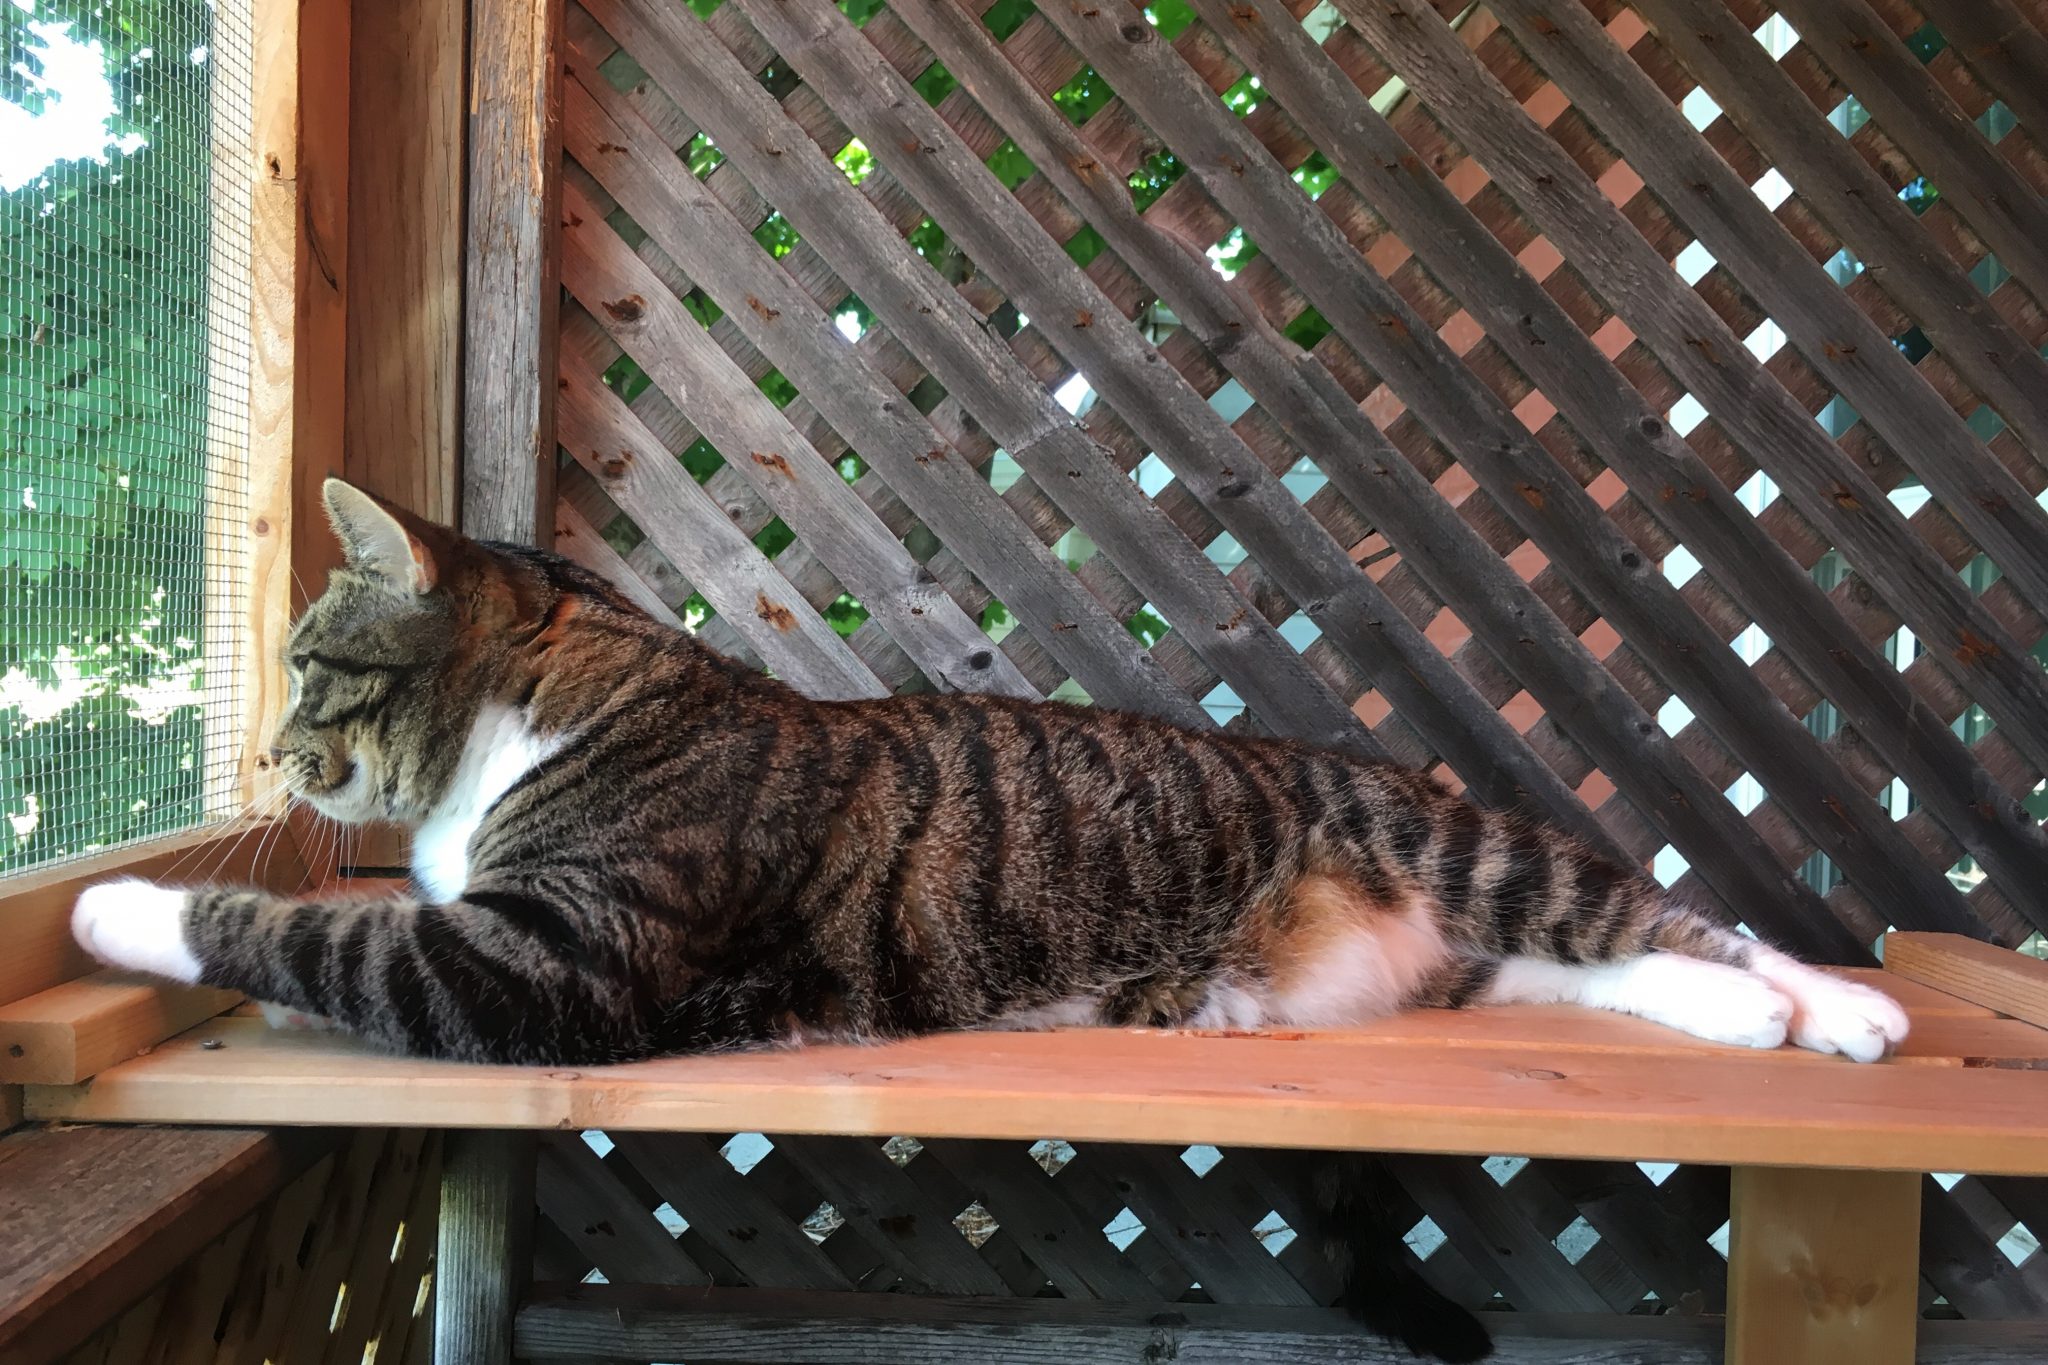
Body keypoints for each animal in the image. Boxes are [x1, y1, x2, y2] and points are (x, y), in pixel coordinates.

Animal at [75, 485, 1900, 1358]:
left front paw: (116, 908)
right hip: (1447, 964)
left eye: (309, 658)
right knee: (1594, 972)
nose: (261, 750)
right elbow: (346, 937)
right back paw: (1766, 1025)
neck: (548, 710)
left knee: (1659, 915)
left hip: (1471, 852)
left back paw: (1847, 1008)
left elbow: (321, 934)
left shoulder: (555, 964)